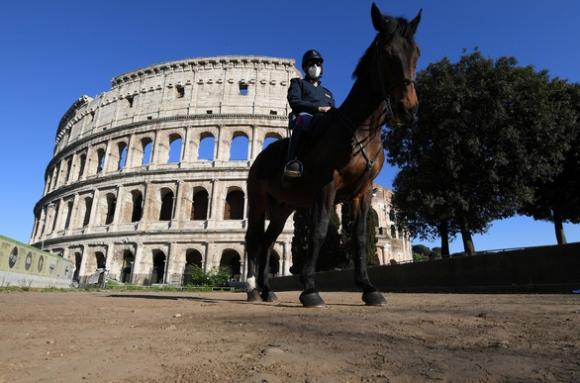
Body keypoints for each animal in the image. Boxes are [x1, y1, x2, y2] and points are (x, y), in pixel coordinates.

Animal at [245, 2, 422, 308]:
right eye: (386, 53)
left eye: (417, 53)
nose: (407, 110)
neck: (360, 128)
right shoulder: (327, 185)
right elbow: (319, 230)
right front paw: (309, 288)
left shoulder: (362, 192)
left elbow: (360, 237)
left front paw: (368, 287)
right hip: (258, 202)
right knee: (254, 241)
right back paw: (253, 289)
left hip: (283, 208)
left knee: (268, 242)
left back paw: (268, 290)